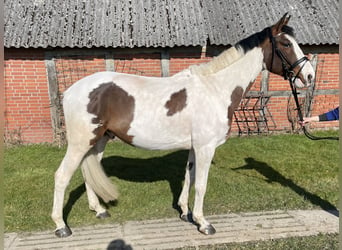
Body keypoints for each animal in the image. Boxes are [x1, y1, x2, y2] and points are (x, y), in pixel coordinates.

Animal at [52, 13, 316, 236]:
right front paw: (204, 223)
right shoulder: (206, 148)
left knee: (88, 172)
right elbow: (201, 185)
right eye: (286, 44)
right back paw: (61, 226)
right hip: (81, 142)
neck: (216, 89)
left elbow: (189, 177)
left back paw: (99, 210)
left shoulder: (194, 147)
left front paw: (186, 213)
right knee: (62, 176)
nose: (309, 76)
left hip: (99, 140)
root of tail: (71, 91)